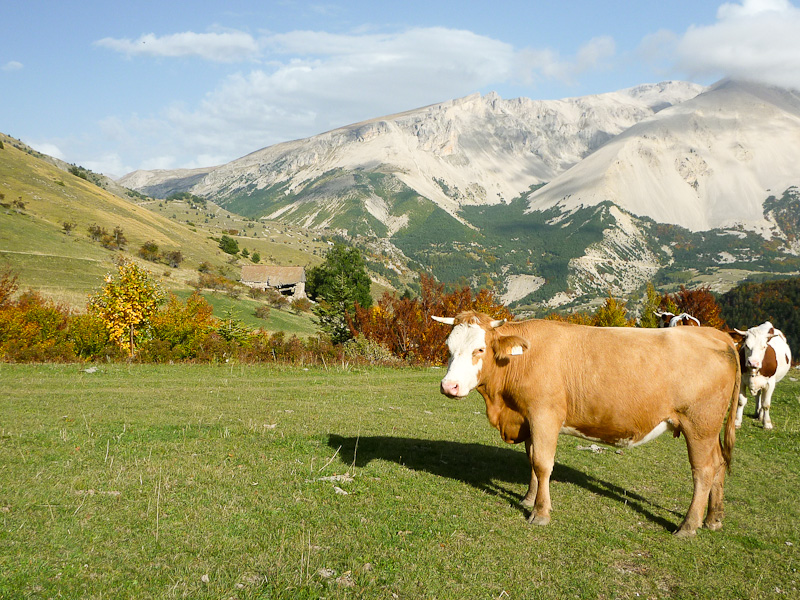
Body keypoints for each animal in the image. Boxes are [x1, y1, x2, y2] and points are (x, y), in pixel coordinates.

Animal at [434, 314, 740, 540]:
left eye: (480, 349)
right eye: (448, 348)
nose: (449, 386)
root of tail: (717, 335)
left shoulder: (544, 415)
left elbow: (542, 463)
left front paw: (541, 513)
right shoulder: (528, 418)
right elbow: (532, 460)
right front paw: (528, 499)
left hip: (700, 425)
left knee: (703, 471)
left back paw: (688, 526)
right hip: (710, 429)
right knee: (719, 464)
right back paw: (713, 518)